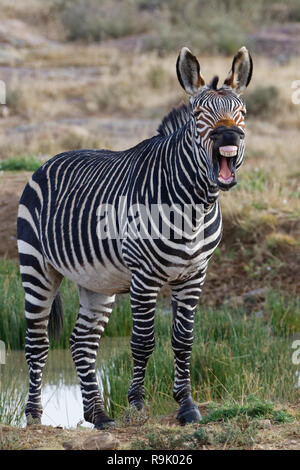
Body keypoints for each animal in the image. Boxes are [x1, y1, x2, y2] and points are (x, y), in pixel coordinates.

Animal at [17, 46, 252, 430]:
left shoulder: (194, 275)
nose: (228, 139)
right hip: (36, 266)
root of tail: (48, 161)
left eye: (242, 114)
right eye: (198, 115)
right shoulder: (144, 276)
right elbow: (143, 341)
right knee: (36, 342)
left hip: (97, 281)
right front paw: (138, 405)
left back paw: (98, 414)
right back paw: (34, 417)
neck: (194, 207)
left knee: (82, 342)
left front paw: (187, 406)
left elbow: (183, 341)